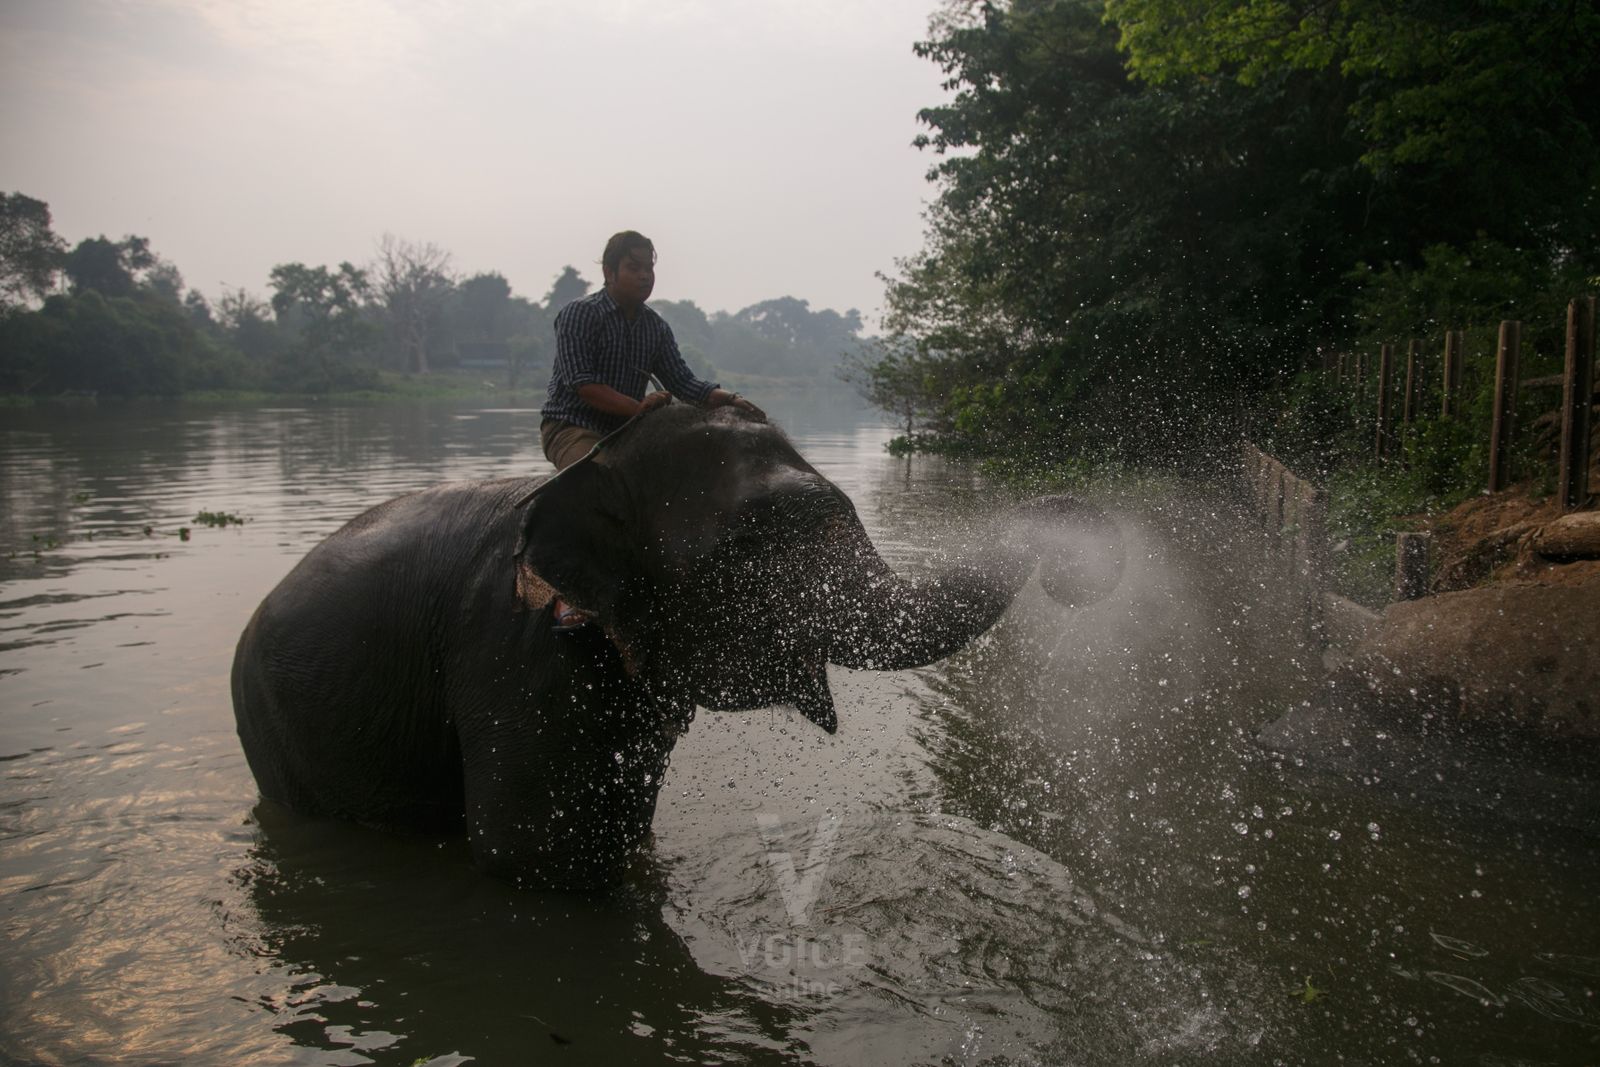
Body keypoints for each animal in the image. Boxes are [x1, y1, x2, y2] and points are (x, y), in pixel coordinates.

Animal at [233, 398, 1126, 883]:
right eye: (751, 542)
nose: (1081, 564)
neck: (601, 470)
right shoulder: (515, 654)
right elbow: (530, 856)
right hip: (273, 730)